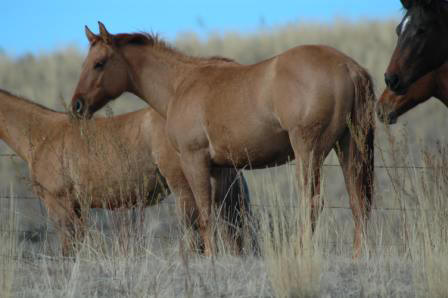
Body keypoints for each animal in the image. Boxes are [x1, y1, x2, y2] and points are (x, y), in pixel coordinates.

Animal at [72, 22, 376, 256]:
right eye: (86, 63)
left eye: (99, 64)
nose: (77, 105)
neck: (180, 85)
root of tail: (348, 67)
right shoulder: (219, 169)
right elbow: (221, 219)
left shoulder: (194, 160)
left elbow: (204, 215)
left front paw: (211, 259)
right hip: (348, 148)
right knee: (358, 202)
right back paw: (358, 255)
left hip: (309, 152)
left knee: (311, 203)